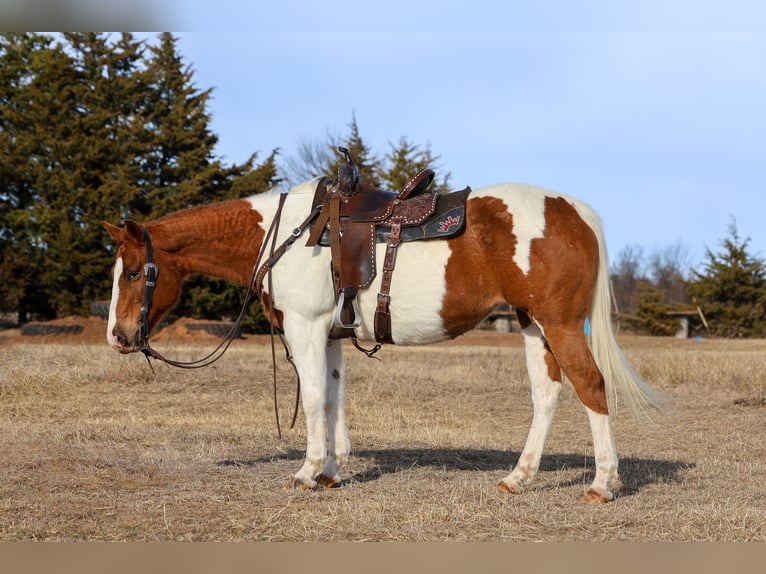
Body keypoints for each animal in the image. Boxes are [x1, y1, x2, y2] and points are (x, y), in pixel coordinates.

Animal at [102, 177, 661, 503]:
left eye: (131, 272)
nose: (118, 337)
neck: (285, 235)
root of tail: (575, 210)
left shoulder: (305, 329)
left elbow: (313, 401)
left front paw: (307, 472)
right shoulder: (329, 335)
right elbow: (332, 399)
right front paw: (331, 471)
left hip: (559, 325)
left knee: (591, 386)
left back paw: (603, 483)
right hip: (532, 325)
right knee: (547, 395)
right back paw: (518, 478)